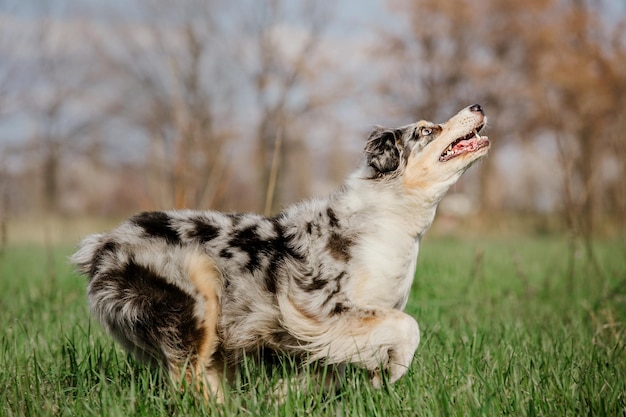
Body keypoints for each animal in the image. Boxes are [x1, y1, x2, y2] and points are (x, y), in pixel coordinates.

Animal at [72, 102, 488, 398]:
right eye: (426, 130)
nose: (478, 105)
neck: (388, 216)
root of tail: (102, 244)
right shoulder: (321, 308)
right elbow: (407, 327)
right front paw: (394, 369)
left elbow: (325, 373)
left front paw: (285, 393)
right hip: (196, 302)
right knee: (190, 379)